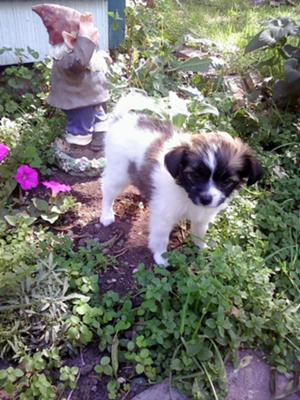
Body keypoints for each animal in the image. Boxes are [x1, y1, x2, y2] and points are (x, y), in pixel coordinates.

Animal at [99, 95, 262, 268]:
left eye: (227, 181)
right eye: (194, 176)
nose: (206, 199)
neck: (185, 191)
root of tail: (122, 118)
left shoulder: (202, 216)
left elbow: (199, 232)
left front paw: (201, 248)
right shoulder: (163, 216)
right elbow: (160, 238)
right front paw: (161, 257)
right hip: (120, 174)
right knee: (108, 189)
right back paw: (106, 215)